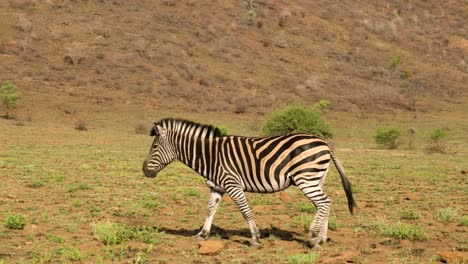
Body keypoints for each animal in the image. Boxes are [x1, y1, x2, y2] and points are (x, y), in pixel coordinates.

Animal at [143, 118, 354, 249]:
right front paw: (202, 234)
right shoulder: (217, 187)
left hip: (306, 178)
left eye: (155, 146)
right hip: (316, 179)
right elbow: (210, 210)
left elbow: (245, 210)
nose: (144, 171)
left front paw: (255, 238)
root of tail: (324, 143)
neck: (210, 156)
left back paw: (312, 238)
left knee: (324, 202)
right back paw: (321, 239)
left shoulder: (232, 184)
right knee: (324, 204)